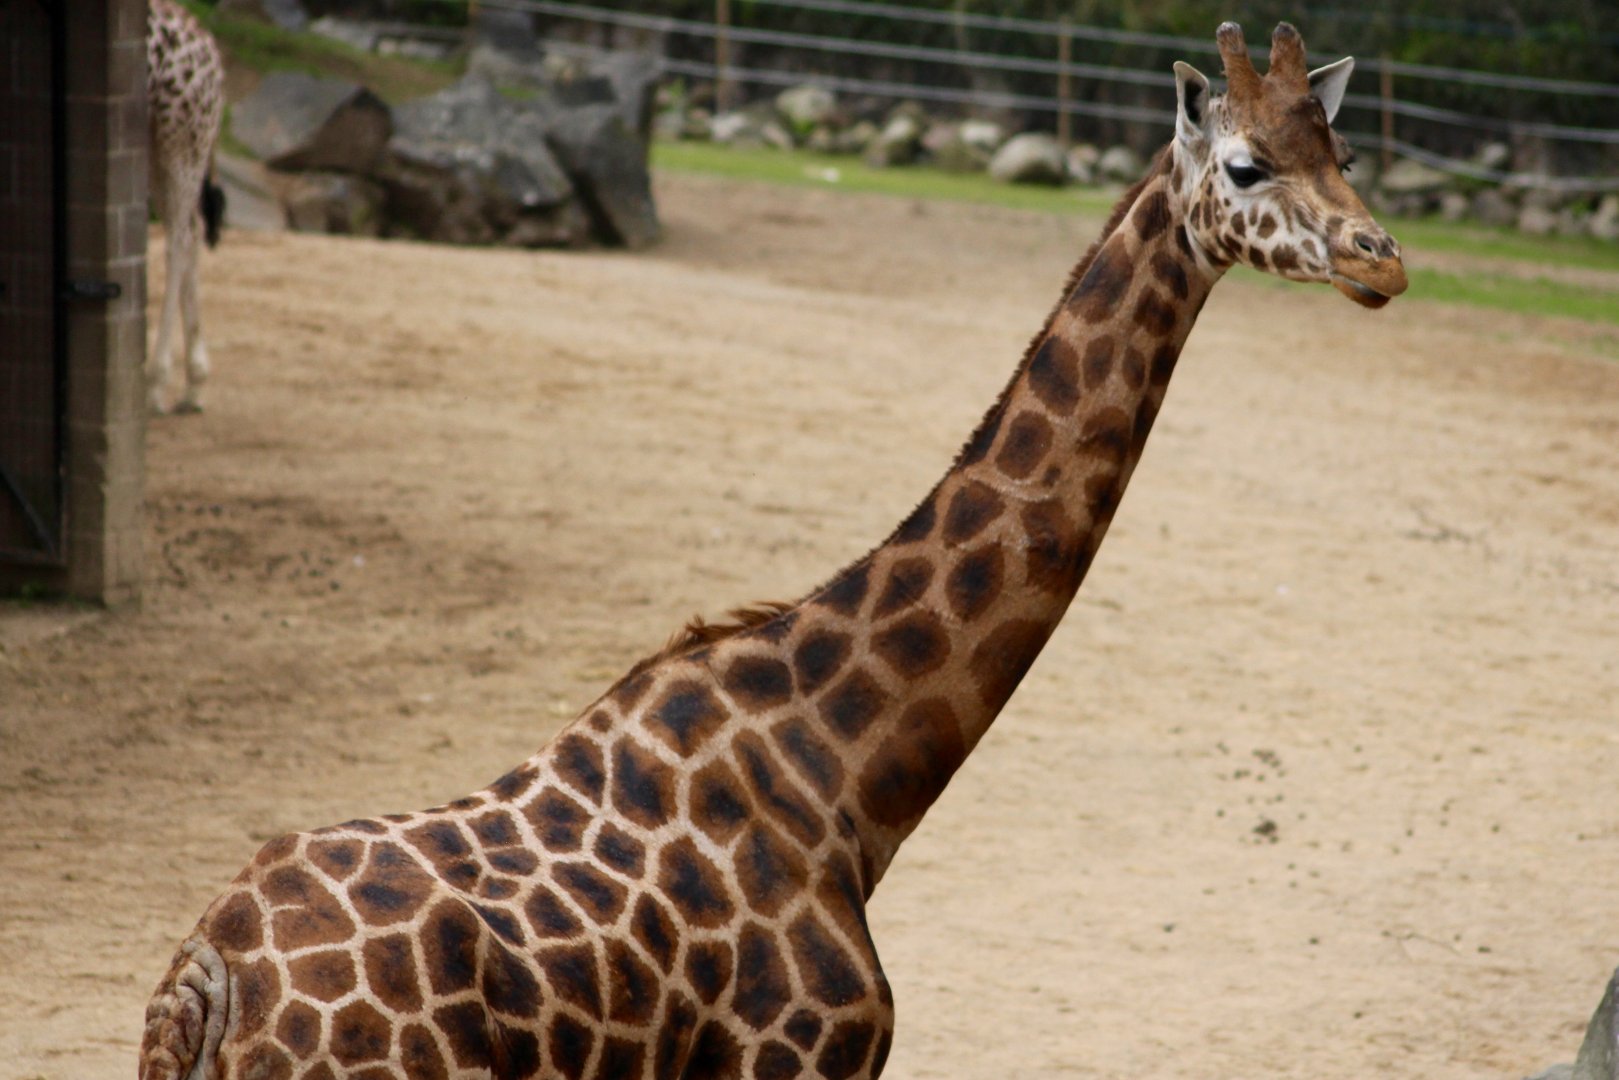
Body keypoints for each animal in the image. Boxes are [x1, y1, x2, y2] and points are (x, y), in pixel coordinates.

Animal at [138, 22, 1405, 1080]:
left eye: (1338, 148)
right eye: (1242, 165)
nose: (1379, 258)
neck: (841, 772)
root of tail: (204, 984)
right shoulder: (796, 1060)